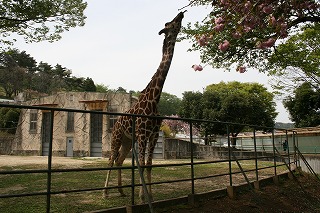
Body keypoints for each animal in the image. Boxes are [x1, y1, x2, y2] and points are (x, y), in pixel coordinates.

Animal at [104, 11, 185, 201]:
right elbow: (141, 162)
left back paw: (121, 191)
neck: (154, 99)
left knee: (119, 160)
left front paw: (150, 196)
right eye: (169, 23)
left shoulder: (153, 135)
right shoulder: (142, 134)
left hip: (127, 140)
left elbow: (148, 163)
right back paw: (105, 192)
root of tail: (116, 122)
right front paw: (142, 196)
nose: (181, 13)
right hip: (117, 137)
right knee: (111, 160)